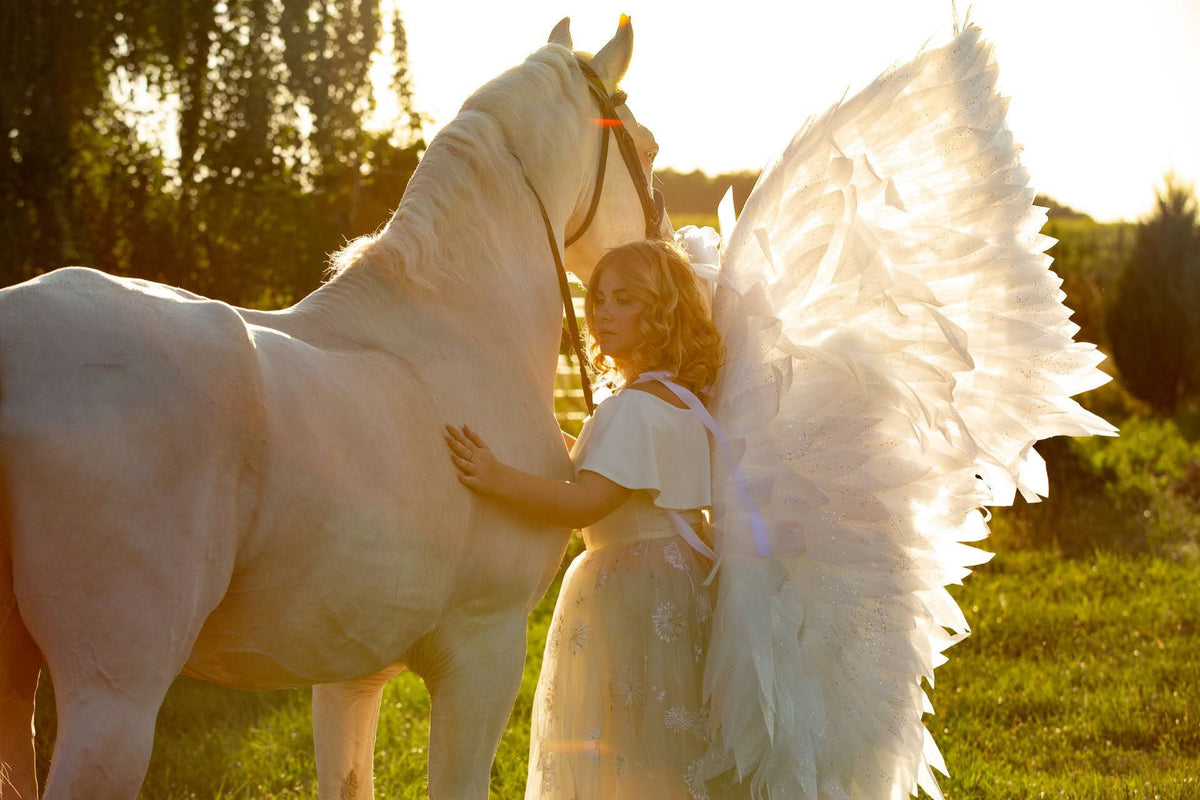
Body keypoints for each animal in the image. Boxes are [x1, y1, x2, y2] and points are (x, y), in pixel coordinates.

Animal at [0, 16, 663, 799]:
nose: (661, 246)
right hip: (113, 702)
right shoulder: (485, 652)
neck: (457, 325)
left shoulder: (349, 670)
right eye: (648, 148)